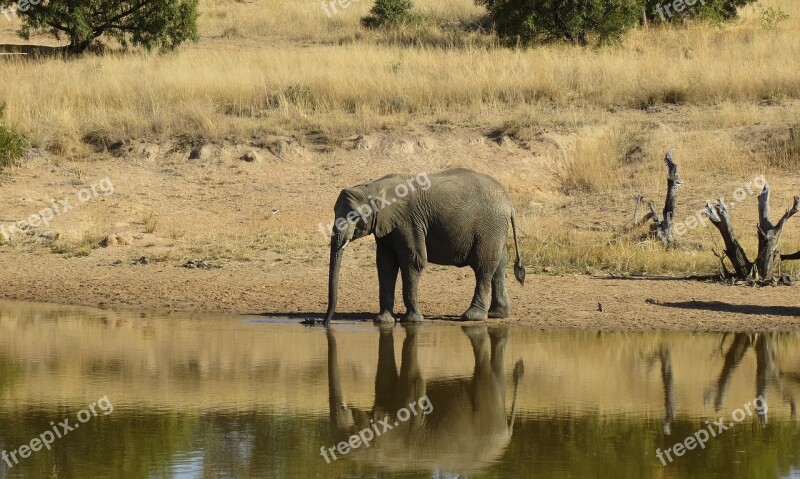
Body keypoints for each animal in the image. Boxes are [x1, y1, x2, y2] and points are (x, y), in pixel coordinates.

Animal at [322, 169, 528, 326]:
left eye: (355, 217)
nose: (324, 323)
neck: (373, 187)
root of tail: (509, 203)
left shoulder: (409, 223)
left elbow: (413, 261)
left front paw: (412, 321)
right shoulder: (386, 226)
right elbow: (386, 265)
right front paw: (383, 321)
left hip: (489, 227)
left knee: (483, 267)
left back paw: (472, 317)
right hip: (495, 229)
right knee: (499, 265)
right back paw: (497, 314)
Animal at [324, 322, 524, 472]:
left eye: (352, 433)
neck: (374, 455)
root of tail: (507, 435)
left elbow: (415, 381)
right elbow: (385, 381)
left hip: (487, 413)